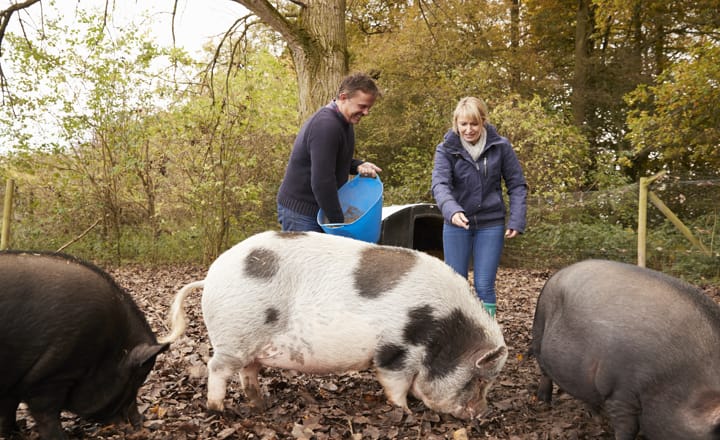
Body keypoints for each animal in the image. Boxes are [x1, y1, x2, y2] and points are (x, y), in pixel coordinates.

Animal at [160, 230, 510, 420]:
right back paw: (218, 408)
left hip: (249, 345)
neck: (442, 333)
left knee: (248, 371)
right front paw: (406, 412)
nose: (483, 413)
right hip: (234, 337)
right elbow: (394, 384)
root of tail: (210, 275)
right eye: (479, 380)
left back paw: (260, 402)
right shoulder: (396, 351)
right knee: (216, 367)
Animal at [528, 260, 720, 440]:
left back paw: (595, 418)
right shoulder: (620, 391)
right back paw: (544, 401)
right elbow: (628, 428)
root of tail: (557, 273)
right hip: (539, 327)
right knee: (543, 369)